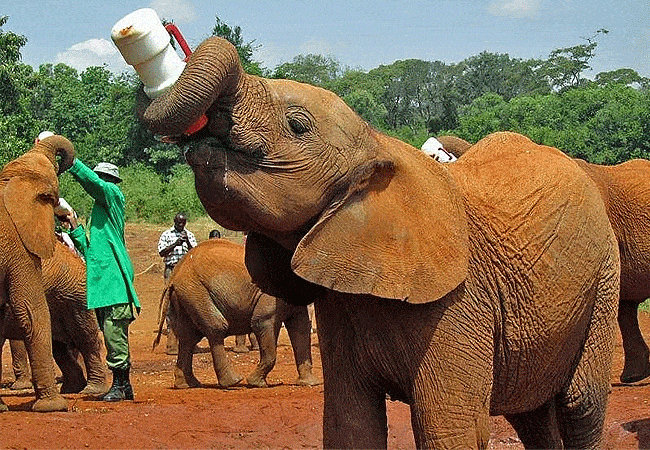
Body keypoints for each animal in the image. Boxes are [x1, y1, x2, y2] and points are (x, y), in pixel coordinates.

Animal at [154, 237, 322, 388]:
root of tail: (174, 275)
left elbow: (300, 329)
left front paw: (310, 383)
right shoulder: (272, 294)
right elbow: (262, 322)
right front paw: (257, 383)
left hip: (186, 295)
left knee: (188, 337)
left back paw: (187, 384)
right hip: (195, 292)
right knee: (216, 327)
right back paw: (233, 382)